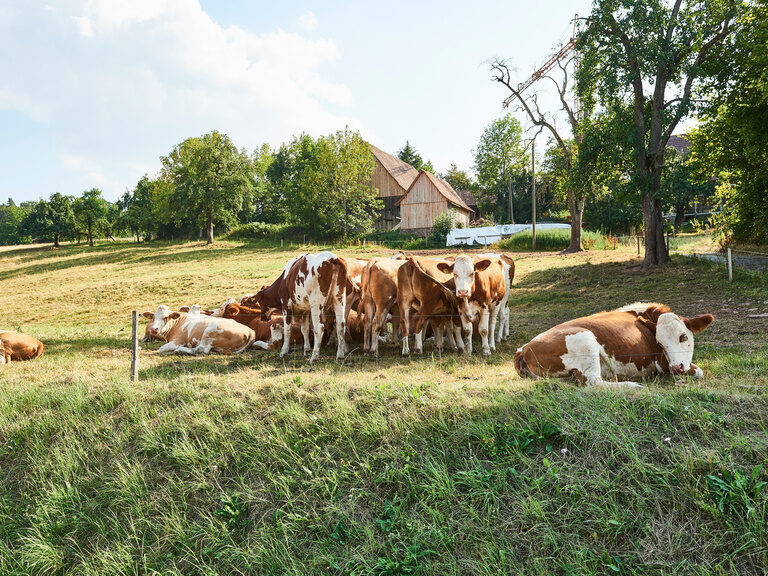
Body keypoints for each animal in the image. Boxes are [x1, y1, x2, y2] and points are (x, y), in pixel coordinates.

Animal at [514, 302, 715, 388]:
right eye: (660, 343)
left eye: (683, 337)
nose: (676, 367)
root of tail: (524, 348)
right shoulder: (661, 362)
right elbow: (698, 371)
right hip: (585, 340)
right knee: (593, 382)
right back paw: (632, 386)